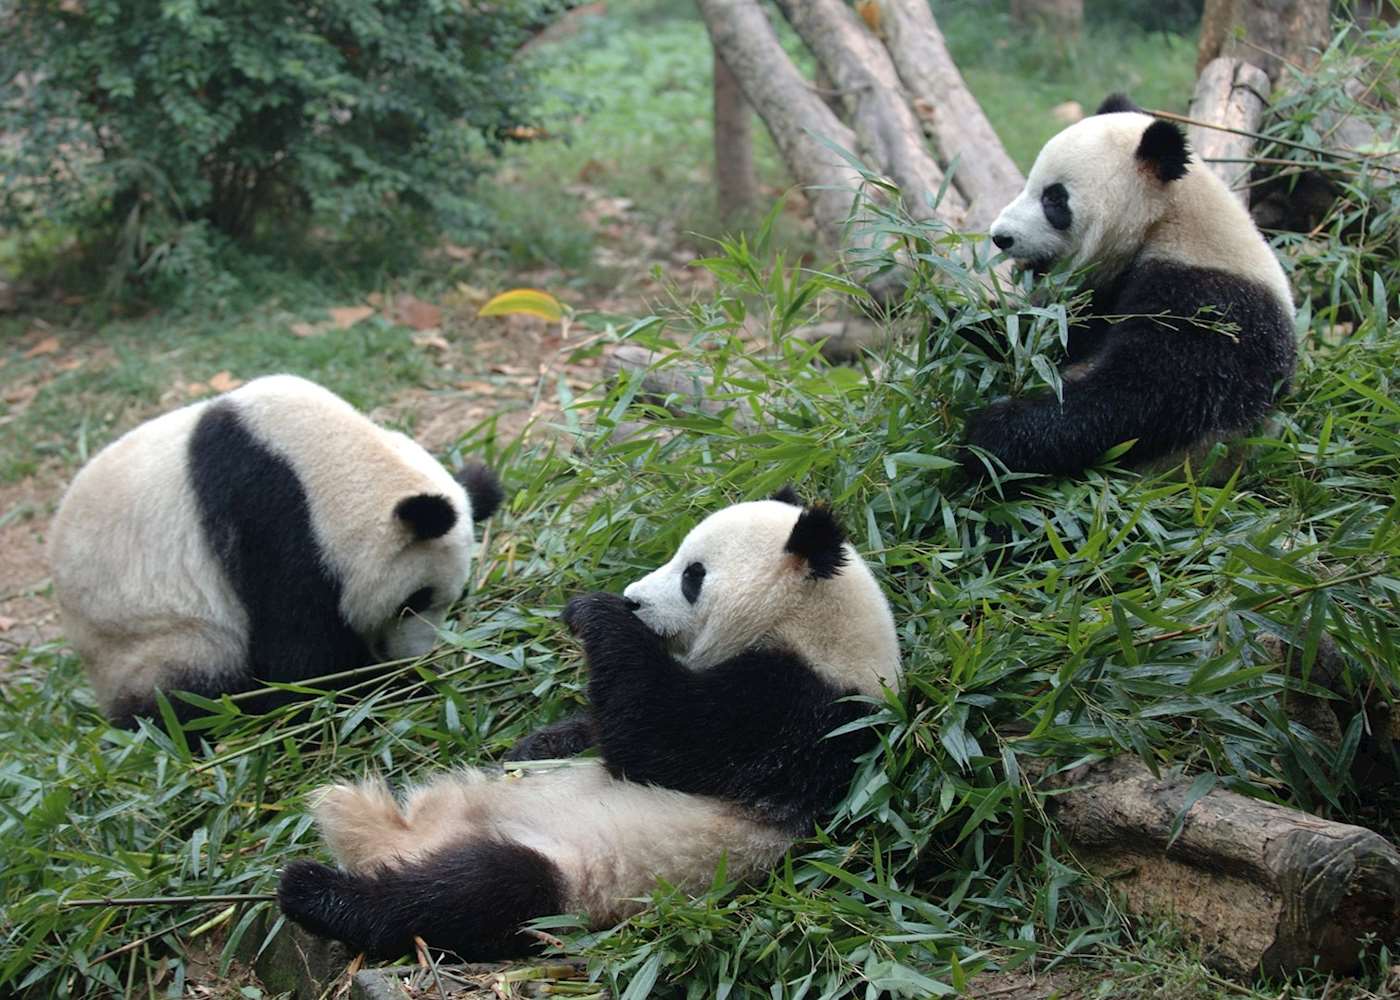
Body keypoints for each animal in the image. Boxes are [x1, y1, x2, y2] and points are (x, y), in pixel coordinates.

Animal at [47, 374, 503, 728]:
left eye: (453, 599)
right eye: (414, 601)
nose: (415, 657)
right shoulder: (271, 519)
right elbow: (303, 657)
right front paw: (383, 691)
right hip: (151, 638)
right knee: (186, 695)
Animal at [275, 489, 902, 960]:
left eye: (693, 576)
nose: (633, 600)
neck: (814, 631)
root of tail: (407, 836)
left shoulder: (804, 714)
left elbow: (666, 739)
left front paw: (594, 614)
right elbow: (602, 733)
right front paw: (535, 744)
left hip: (569, 878)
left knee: (466, 896)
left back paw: (314, 890)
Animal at [965, 94, 1296, 477]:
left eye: (1054, 199)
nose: (1001, 237)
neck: (1166, 221)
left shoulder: (1209, 306)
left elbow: (1141, 398)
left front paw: (989, 436)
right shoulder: (1102, 295)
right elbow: (1046, 336)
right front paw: (962, 324)